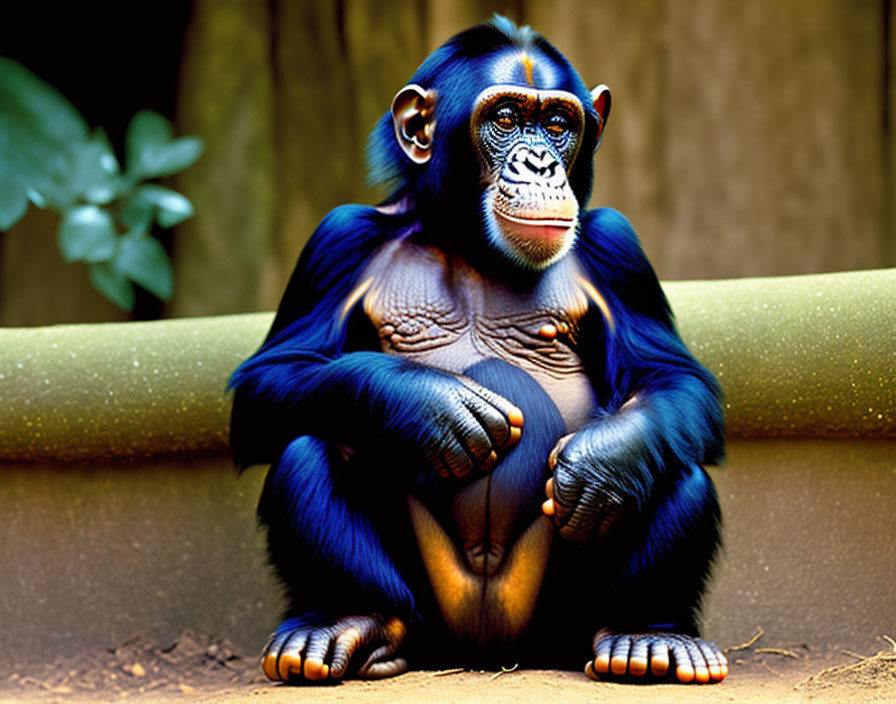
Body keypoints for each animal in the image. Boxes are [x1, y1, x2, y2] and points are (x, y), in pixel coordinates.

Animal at [231, 16, 728, 684]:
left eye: (558, 124)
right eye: (507, 118)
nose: (540, 162)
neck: (469, 244)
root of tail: (487, 652)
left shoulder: (618, 249)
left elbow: (669, 377)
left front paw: (601, 462)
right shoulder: (336, 240)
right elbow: (270, 381)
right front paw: (429, 406)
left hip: (557, 622)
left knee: (675, 463)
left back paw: (648, 634)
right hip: (430, 616)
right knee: (308, 447)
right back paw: (347, 622)